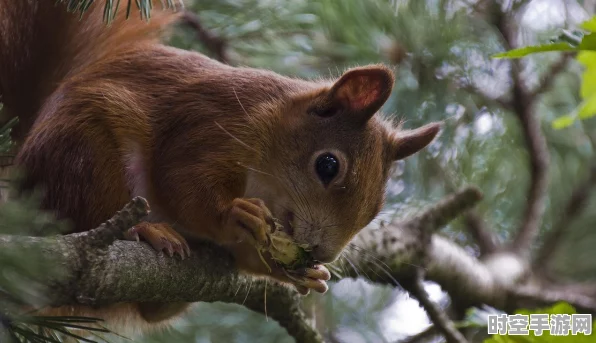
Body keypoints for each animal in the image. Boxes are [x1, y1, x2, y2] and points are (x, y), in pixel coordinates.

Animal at [0, 0, 438, 330]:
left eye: (377, 210)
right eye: (328, 166)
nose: (321, 253)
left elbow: (243, 258)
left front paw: (296, 272)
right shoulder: (210, 126)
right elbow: (181, 181)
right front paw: (235, 215)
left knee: (152, 310)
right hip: (87, 152)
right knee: (82, 215)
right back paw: (146, 230)